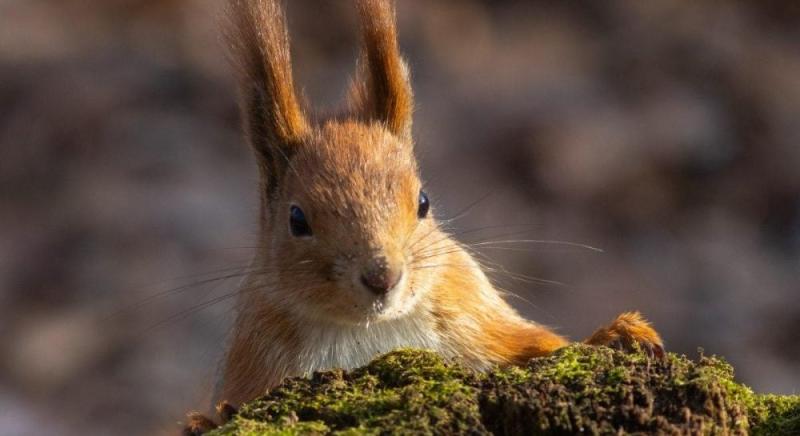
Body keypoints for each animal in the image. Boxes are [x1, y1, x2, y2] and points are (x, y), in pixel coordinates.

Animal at [186, 0, 664, 432]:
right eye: (297, 220)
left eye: (423, 202)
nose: (382, 277)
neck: (370, 331)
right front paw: (206, 419)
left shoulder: (472, 313)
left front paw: (618, 334)